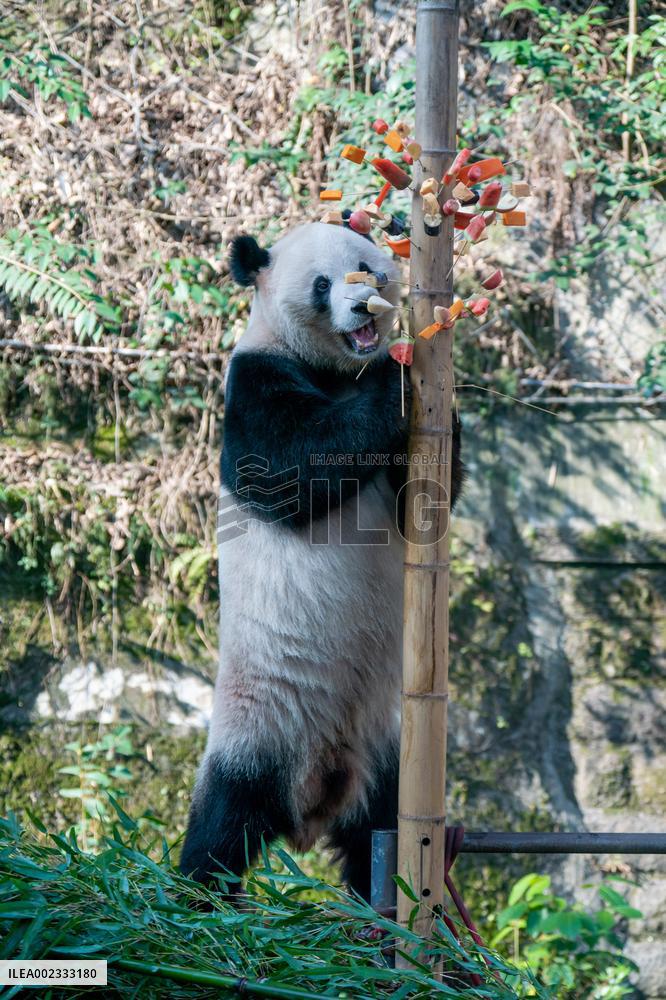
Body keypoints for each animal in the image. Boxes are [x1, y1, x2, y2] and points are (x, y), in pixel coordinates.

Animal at [180, 221, 462, 900]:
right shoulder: (253, 378)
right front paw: (394, 376)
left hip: (386, 750)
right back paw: (190, 906)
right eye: (322, 283)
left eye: (370, 267)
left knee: (382, 838)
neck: (335, 369)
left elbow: (424, 504)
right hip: (258, 725)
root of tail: (310, 801)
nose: (364, 309)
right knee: (221, 826)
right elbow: (287, 468)